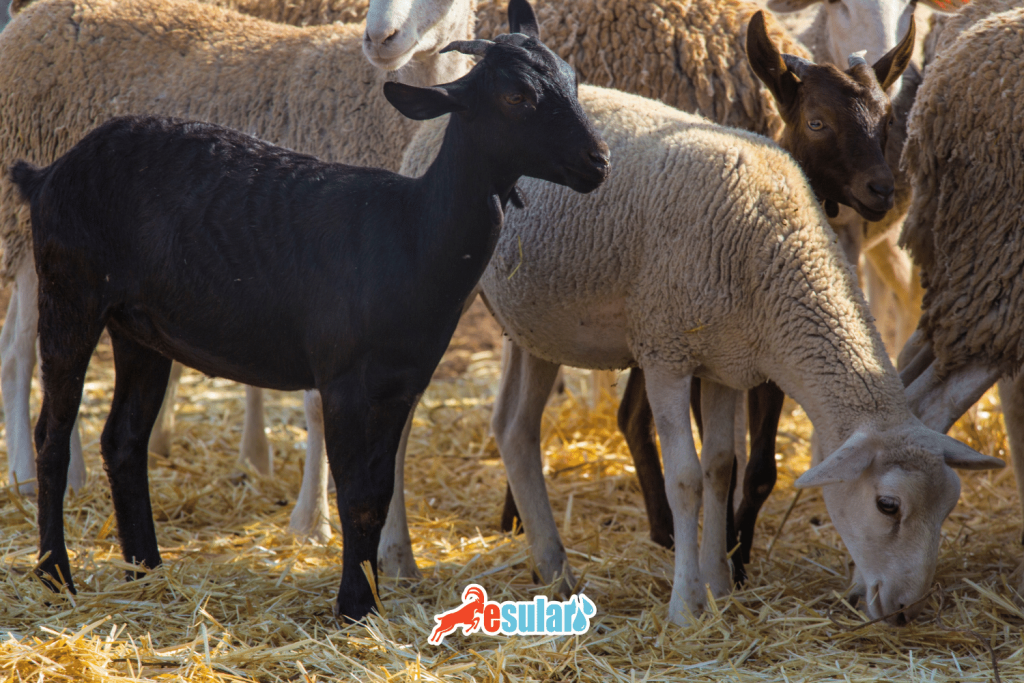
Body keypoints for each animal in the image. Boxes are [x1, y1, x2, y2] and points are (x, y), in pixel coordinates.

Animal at [0, 0, 476, 496]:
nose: (381, 39)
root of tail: (35, 14)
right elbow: (317, 407)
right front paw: (313, 512)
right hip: (40, 238)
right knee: (21, 353)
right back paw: (26, 477)